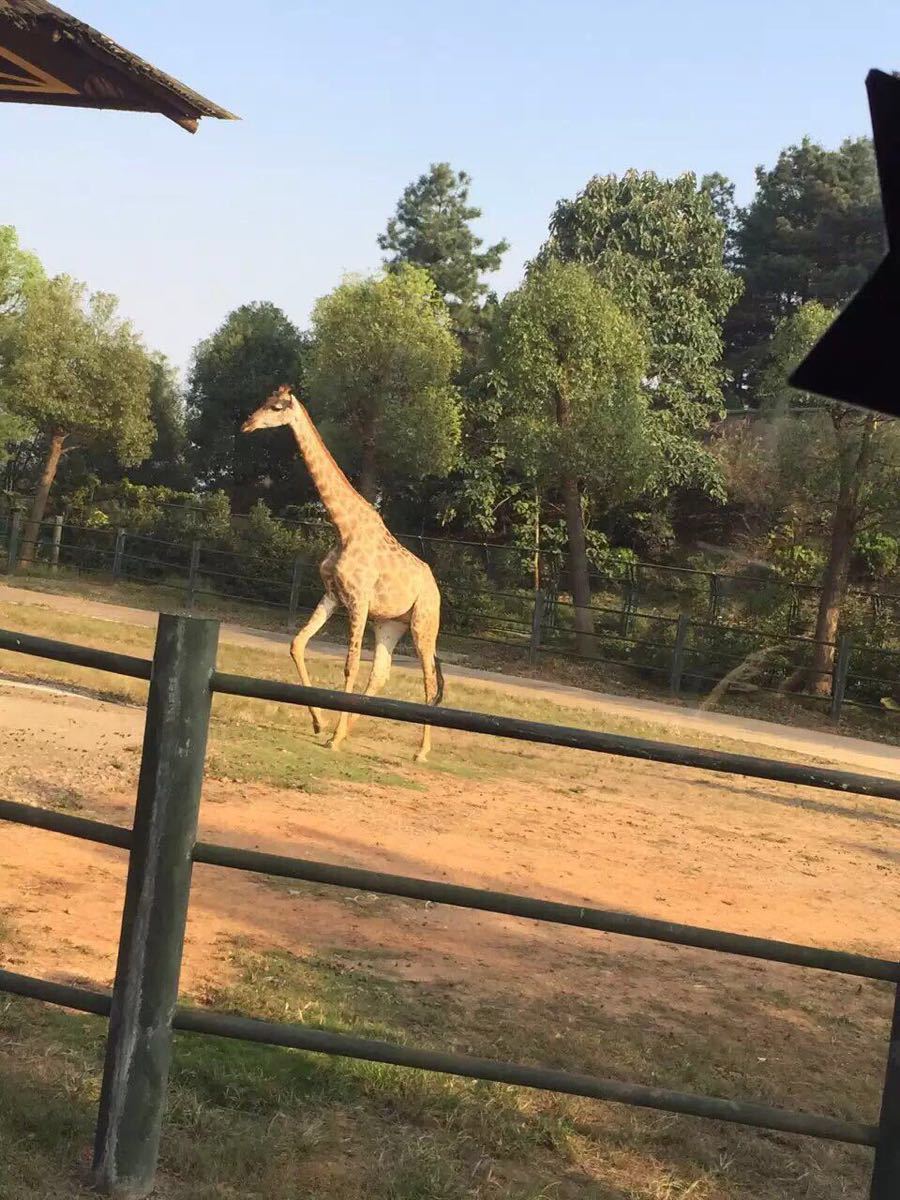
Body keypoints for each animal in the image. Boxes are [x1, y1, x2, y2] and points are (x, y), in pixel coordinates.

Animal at [241, 384, 446, 758]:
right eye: (264, 401)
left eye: (276, 407)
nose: (247, 424)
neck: (343, 527)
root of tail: (435, 587)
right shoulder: (333, 596)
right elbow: (297, 644)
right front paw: (320, 724)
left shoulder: (358, 601)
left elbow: (349, 666)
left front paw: (332, 735)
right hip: (390, 624)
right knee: (381, 673)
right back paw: (347, 731)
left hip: (424, 623)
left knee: (426, 680)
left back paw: (420, 751)